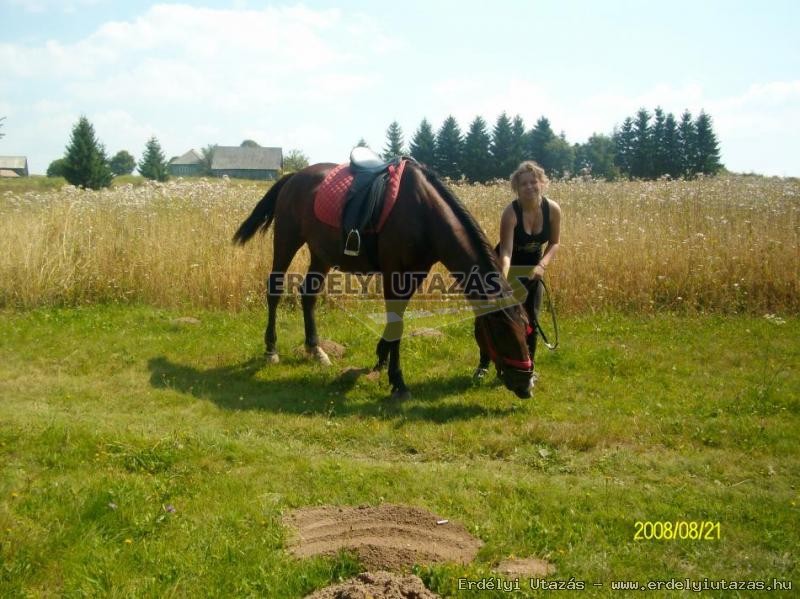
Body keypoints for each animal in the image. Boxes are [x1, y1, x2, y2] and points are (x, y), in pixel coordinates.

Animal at [233, 159, 532, 398]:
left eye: (527, 329)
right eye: (503, 333)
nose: (527, 385)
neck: (423, 212)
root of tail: (293, 177)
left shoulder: (416, 273)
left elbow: (395, 323)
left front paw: (381, 358)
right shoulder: (394, 274)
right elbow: (396, 323)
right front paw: (397, 381)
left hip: (321, 253)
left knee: (308, 295)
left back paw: (316, 350)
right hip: (286, 240)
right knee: (274, 291)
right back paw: (271, 350)